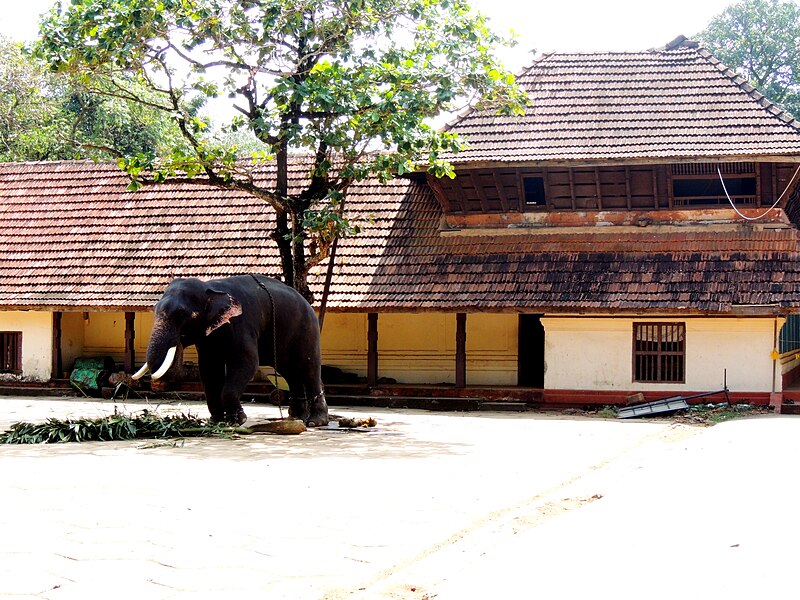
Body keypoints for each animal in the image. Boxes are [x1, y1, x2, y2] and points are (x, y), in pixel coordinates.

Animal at [131, 274, 328, 424]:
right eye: (154, 309)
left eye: (181, 314)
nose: (178, 341)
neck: (210, 287)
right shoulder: (208, 337)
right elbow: (209, 369)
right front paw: (216, 421)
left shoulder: (241, 324)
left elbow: (247, 363)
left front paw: (237, 420)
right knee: (290, 372)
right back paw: (296, 418)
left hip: (308, 330)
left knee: (309, 369)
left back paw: (315, 422)